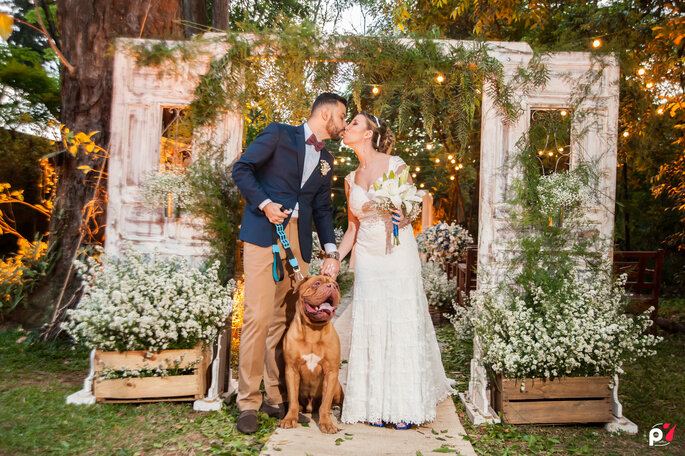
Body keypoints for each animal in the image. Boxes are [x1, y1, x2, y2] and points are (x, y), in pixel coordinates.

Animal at [278, 272, 342, 432]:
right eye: (317, 283)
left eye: (337, 286)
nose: (332, 287)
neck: (314, 330)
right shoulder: (292, 370)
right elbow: (293, 399)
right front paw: (290, 419)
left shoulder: (331, 372)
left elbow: (326, 403)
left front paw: (327, 424)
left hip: (337, 388)